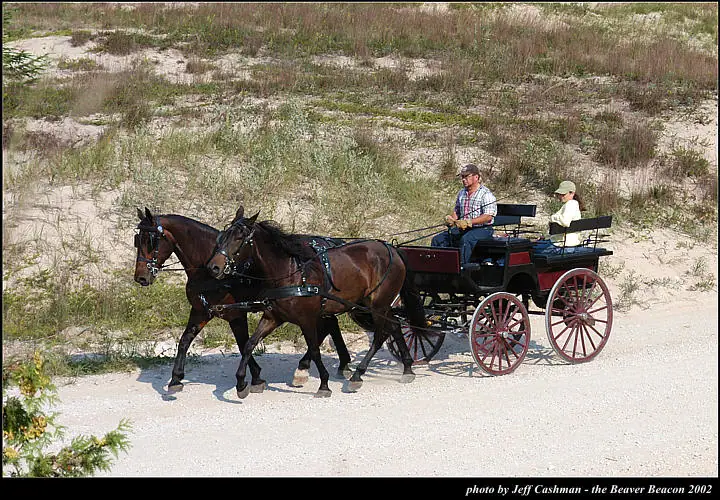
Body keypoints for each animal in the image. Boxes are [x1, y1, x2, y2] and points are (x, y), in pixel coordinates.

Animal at [133, 207, 353, 393]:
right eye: (137, 239)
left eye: (151, 240)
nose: (141, 277)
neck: (208, 274)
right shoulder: (201, 311)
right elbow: (184, 340)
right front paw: (176, 379)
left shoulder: (235, 314)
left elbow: (242, 343)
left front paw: (254, 377)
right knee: (331, 324)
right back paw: (336, 364)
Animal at [206, 206, 427, 399]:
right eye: (222, 237)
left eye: (239, 238)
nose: (213, 268)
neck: (290, 273)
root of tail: (392, 248)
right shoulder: (273, 317)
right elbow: (249, 344)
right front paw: (241, 383)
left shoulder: (307, 319)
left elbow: (314, 349)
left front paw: (324, 384)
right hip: (372, 305)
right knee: (395, 325)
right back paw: (407, 368)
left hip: (378, 305)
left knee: (381, 335)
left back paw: (358, 375)